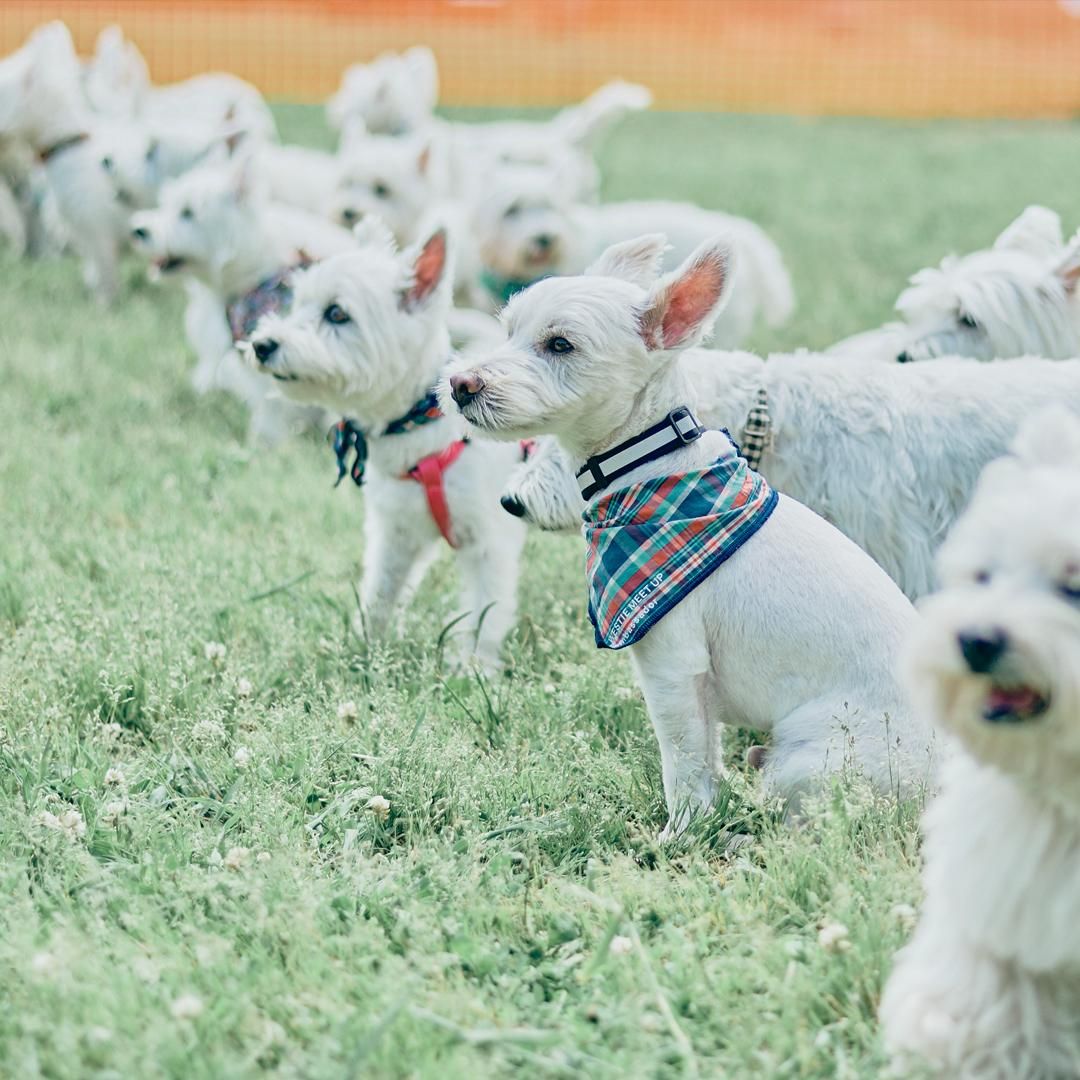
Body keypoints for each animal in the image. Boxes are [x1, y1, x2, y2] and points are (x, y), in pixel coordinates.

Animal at [246, 222, 531, 669]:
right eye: (299, 304)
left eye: (337, 313)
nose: (262, 345)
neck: (420, 427)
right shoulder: (395, 534)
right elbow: (380, 595)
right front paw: (368, 650)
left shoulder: (490, 544)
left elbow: (485, 613)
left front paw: (473, 668)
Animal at [438, 236, 937, 833]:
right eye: (508, 329)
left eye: (560, 344)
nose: (460, 384)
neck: (649, 466)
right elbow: (707, 757)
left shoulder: (673, 667)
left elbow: (683, 762)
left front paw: (678, 835)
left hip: (809, 760)